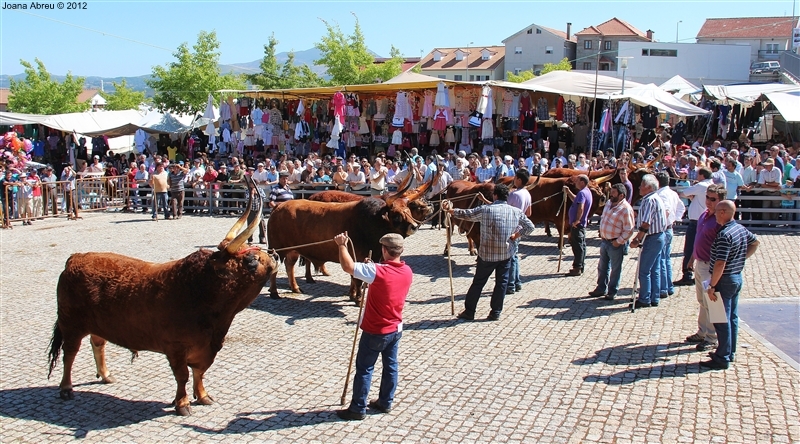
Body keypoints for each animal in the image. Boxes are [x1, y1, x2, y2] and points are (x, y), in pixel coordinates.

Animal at [47, 177, 278, 416]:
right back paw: (66, 388)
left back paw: (105, 375)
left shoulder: (206, 347)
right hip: (71, 324)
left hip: (97, 324)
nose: (274, 256)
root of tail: (75, 258)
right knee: (69, 353)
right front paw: (182, 403)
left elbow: (199, 372)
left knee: (98, 343)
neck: (201, 292)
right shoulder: (175, 348)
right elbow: (182, 376)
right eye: (251, 260)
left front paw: (203, 395)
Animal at [268, 173, 432, 302]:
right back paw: (275, 293)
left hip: (293, 250)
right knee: (275, 269)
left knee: (290, 265)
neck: (373, 221)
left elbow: (357, 278)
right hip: (276, 249)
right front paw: (358, 298)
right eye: (397, 214)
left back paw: (295, 287)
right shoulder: (358, 257)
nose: (414, 226)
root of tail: (278, 207)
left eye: (408, 210)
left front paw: (355, 295)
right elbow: (357, 279)